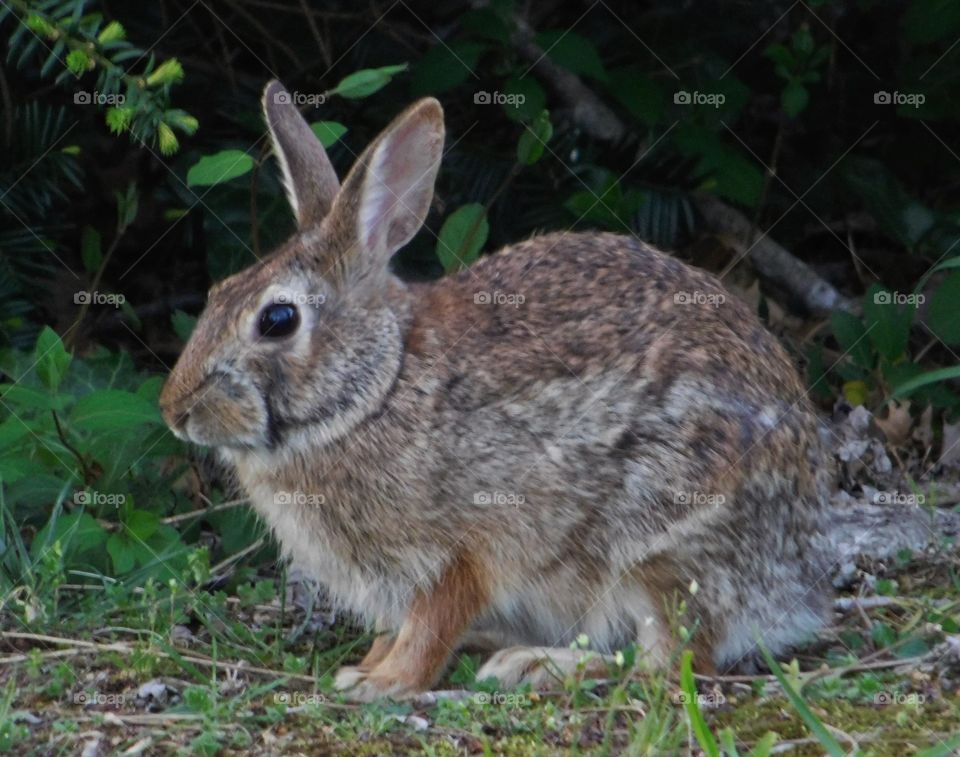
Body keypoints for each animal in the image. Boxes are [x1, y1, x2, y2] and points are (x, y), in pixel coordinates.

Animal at [159, 79, 835, 701]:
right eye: (218, 292)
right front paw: (374, 662)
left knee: (668, 663)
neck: (374, 393)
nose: (176, 411)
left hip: (660, 542)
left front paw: (384, 682)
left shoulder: (466, 548)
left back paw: (535, 665)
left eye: (278, 320)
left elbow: (434, 620)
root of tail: (793, 583)